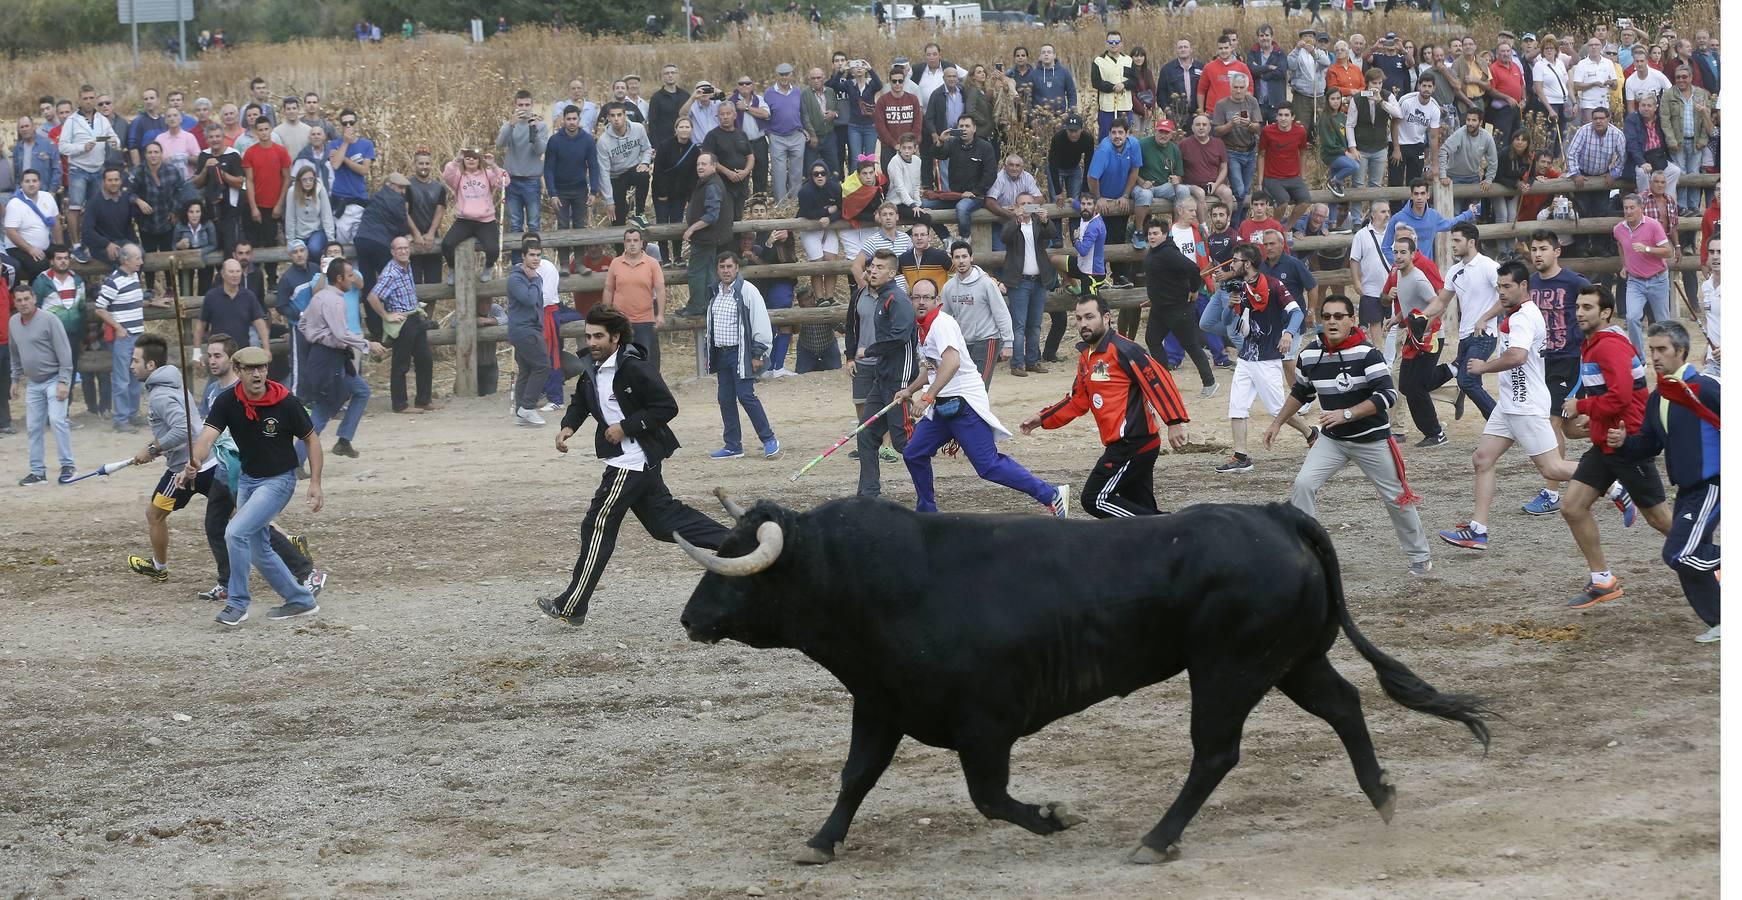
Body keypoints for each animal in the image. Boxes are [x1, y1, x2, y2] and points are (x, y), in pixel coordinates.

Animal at [672, 490, 1491, 863]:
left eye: (738, 567)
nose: (689, 618)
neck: (874, 584)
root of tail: (1274, 513)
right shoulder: (878, 705)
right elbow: (855, 777)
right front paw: (820, 841)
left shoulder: (986, 725)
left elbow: (990, 797)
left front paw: (1055, 816)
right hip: (1290, 660)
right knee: (1345, 704)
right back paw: (1383, 797)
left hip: (1228, 669)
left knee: (1215, 752)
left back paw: (1156, 840)